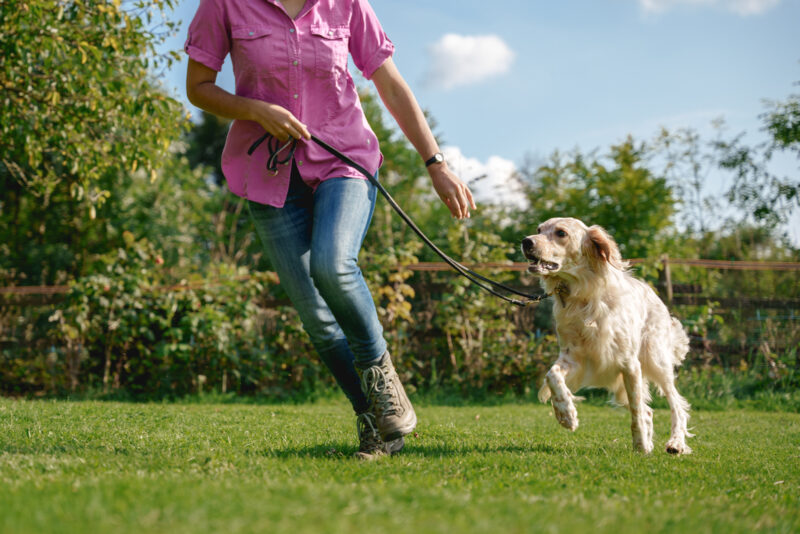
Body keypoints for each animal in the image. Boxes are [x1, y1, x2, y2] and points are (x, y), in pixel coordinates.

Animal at [520, 219, 692, 456]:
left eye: (561, 233)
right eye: (538, 230)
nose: (526, 242)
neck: (583, 296)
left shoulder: (629, 364)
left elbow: (637, 413)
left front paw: (641, 444)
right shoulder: (573, 358)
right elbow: (552, 376)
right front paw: (566, 414)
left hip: (656, 361)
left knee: (676, 406)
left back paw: (676, 443)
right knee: (649, 411)